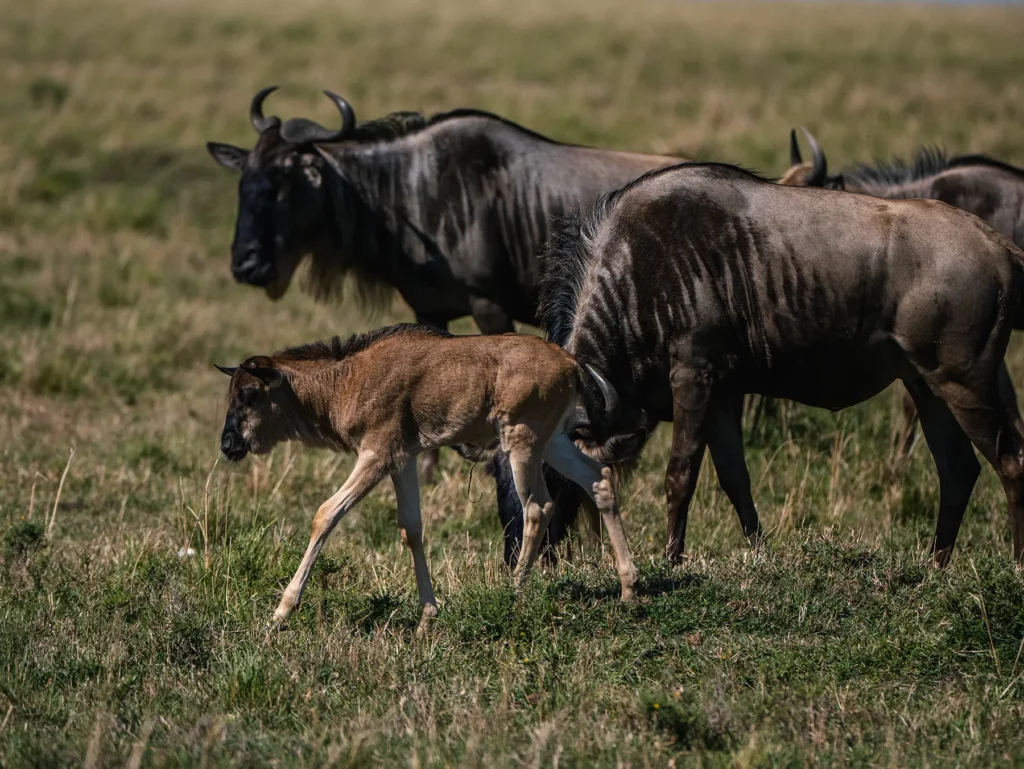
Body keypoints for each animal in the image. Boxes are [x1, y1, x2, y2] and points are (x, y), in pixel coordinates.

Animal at [215, 324, 638, 634]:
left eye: (249, 394)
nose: (228, 444)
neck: (346, 380)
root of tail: (571, 361)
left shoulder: (376, 456)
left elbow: (326, 514)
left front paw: (281, 612)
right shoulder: (402, 460)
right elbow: (412, 530)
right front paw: (426, 616)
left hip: (522, 439)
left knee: (537, 506)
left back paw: (515, 593)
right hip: (553, 442)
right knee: (598, 479)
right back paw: (629, 588)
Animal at [496, 161, 1024, 568]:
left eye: (552, 474)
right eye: (501, 487)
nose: (519, 561)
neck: (637, 273)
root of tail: (1000, 247)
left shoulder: (693, 373)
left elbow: (680, 474)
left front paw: (671, 560)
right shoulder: (721, 393)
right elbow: (735, 478)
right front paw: (759, 553)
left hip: (966, 383)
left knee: (1009, 462)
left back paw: (1014, 563)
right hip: (928, 386)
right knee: (958, 470)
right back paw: (935, 565)